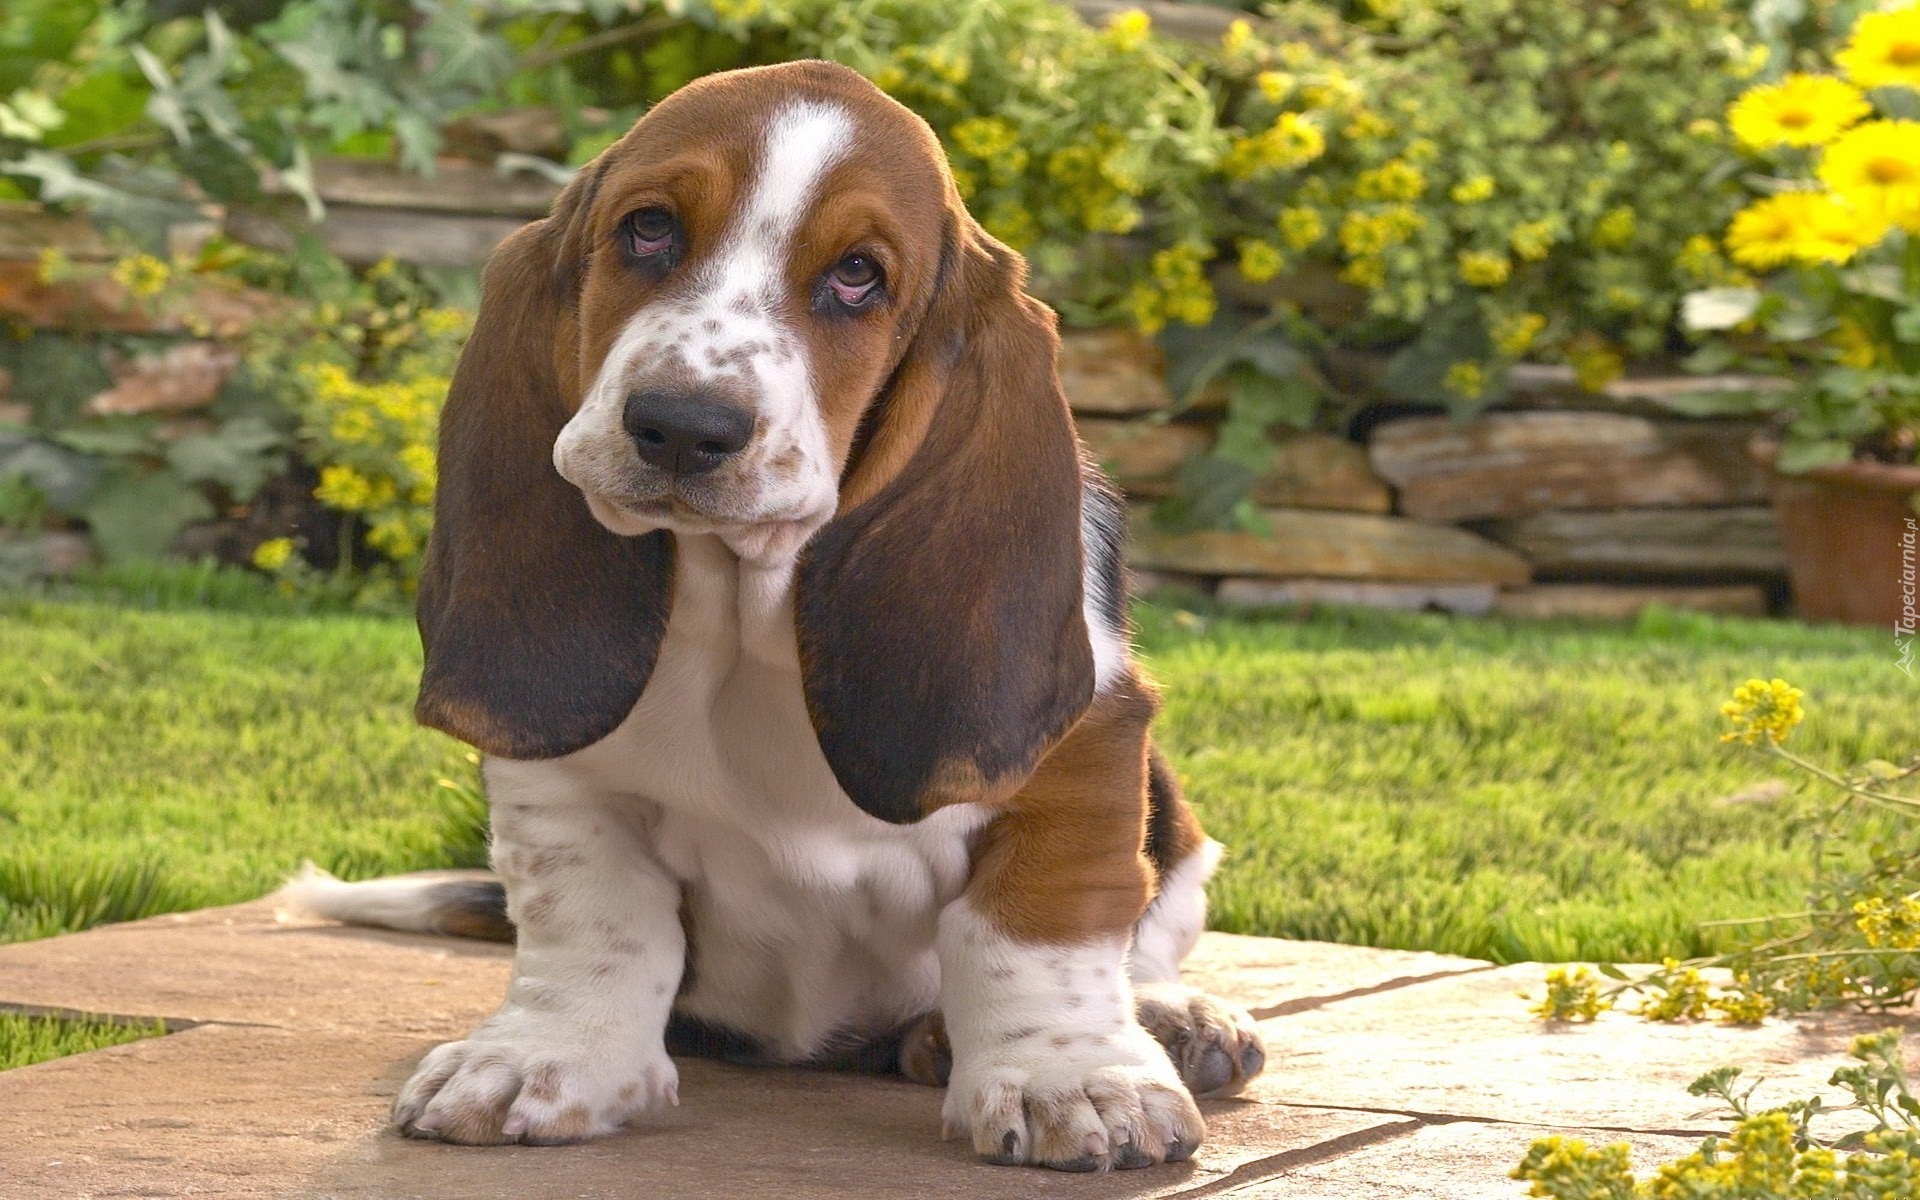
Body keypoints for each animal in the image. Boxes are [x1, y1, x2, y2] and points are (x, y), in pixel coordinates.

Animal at [284, 58, 1267, 1167]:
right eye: (648, 229)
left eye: (858, 277)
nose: (681, 425)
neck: (745, 602)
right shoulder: (561, 781)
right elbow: (592, 919)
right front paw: (543, 1060)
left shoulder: (1083, 754)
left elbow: (1037, 926)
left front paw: (1076, 1082)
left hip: (1179, 826)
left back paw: (1164, 1020)